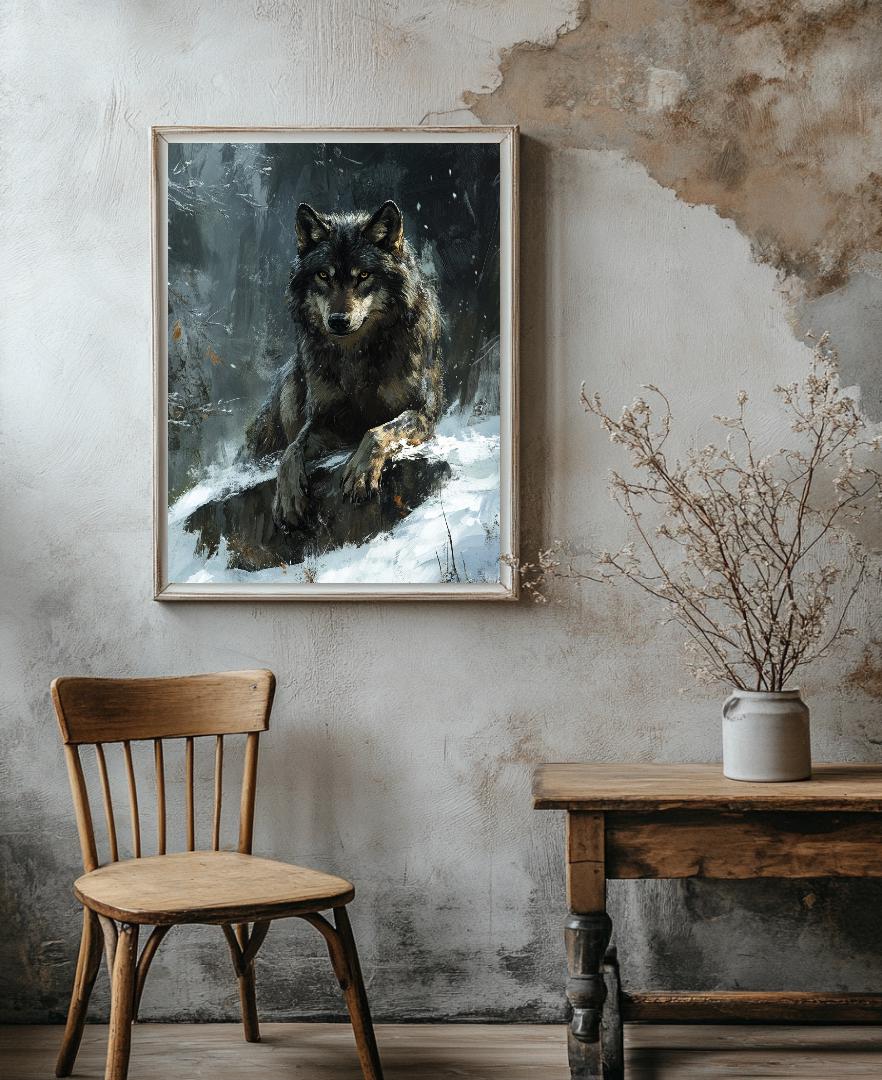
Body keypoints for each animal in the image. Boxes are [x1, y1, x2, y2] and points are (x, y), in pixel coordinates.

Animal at [244, 200, 443, 531]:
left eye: (363, 275)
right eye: (324, 275)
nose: (338, 320)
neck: (356, 358)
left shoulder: (423, 411)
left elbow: (377, 431)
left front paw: (359, 473)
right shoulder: (325, 420)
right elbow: (292, 450)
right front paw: (287, 496)